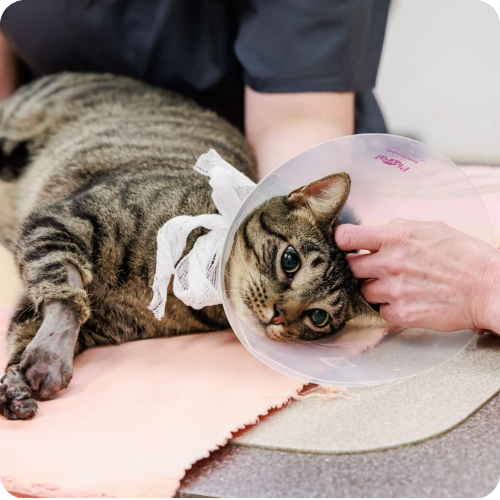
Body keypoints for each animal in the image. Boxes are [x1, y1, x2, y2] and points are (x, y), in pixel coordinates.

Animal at [0, 73, 376, 421]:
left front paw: (19, 383)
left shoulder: (103, 321)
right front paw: (46, 359)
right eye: (290, 260)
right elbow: (65, 304)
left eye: (318, 317)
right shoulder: (65, 220)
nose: (279, 314)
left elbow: (29, 332)